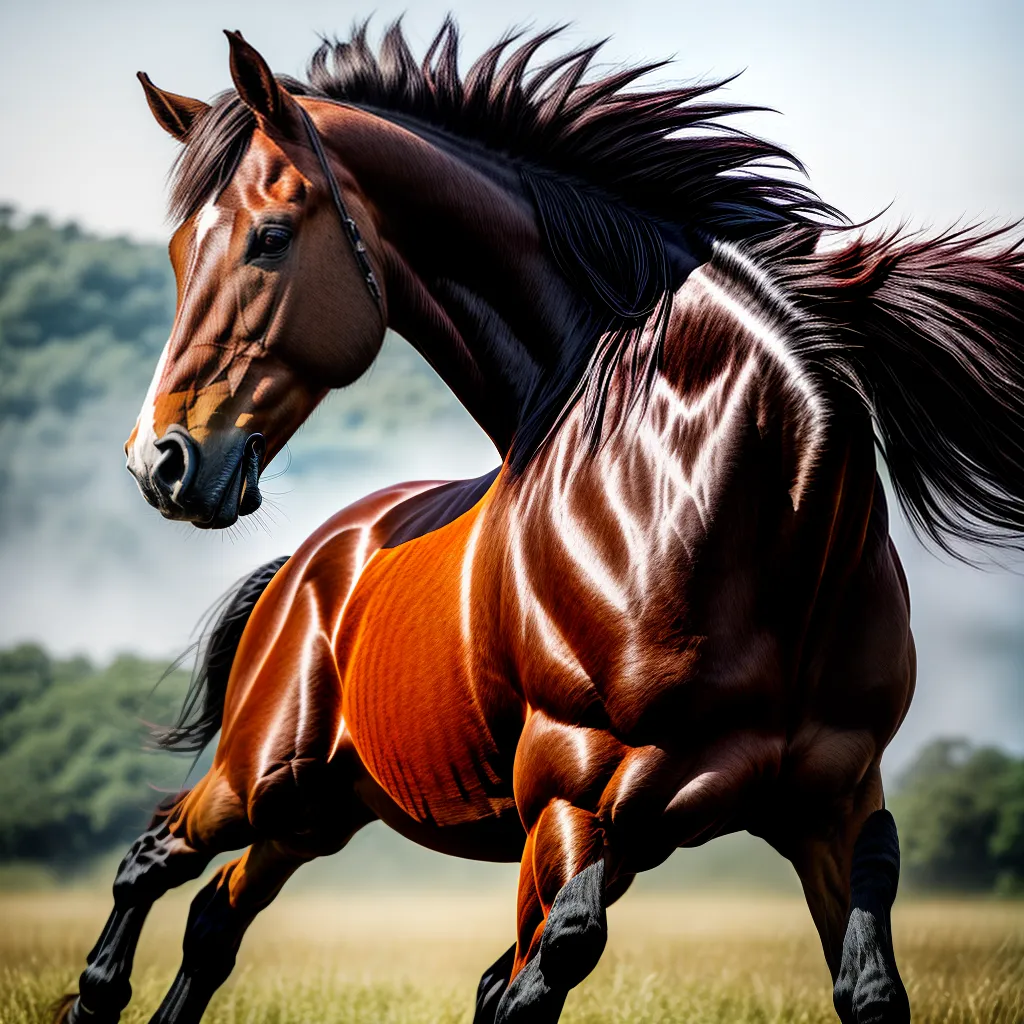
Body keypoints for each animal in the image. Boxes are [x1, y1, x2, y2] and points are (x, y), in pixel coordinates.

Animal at [56, 20, 1024, 1024]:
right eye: (178, 252)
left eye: (269, 238)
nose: (161, 462)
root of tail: (306, 566)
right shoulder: (573, 799)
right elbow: (544, 969)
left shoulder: (833, 807)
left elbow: (867, 988)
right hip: (261, 777)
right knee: (152, 859)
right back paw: (94, 993)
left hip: (320, 809)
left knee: (215, 914)